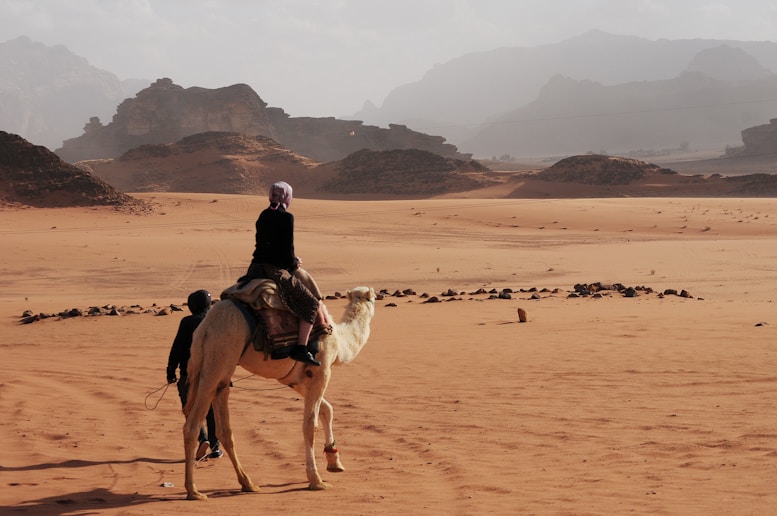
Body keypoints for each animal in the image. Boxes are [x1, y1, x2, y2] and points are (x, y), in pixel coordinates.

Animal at [182, 286, 376, 501]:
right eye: (372, 298)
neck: (340, 341)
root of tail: (205, 328)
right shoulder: (321, 371)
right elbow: (310, 426)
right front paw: (316, 480)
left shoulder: (295, 379)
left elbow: (327, 409)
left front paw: (334, 461)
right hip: (218, 357)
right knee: (192, 426)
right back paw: (194, 491)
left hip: (219, 368)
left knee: (224, 429)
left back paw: (247, 483)